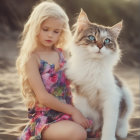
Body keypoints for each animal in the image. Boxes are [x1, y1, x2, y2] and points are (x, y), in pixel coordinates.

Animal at [65, 9, 133, 140]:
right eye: (91, 37)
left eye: (107, 40)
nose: (100, 46)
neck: (94, 65)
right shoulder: (80, 96)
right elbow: (84, 116)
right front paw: (86, 129)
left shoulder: (111, 98)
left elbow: (109, 125)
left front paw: (108, 137)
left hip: (127, 99)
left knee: (123, 121)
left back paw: (121, 132)